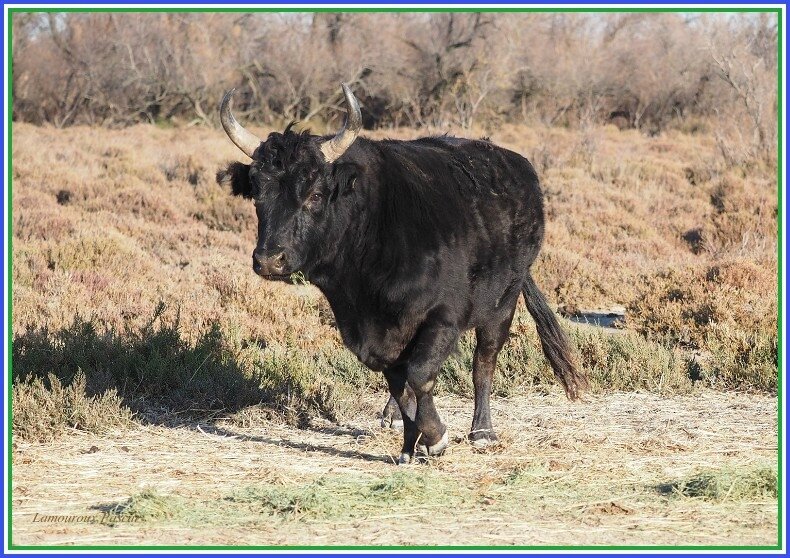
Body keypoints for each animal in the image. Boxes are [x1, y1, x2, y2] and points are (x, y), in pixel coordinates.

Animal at [217, 85, 588, 466]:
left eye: (315, 194)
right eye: (258, 195)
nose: (269, 259)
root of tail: (517, 166)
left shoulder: (444, 318)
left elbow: (421, 376)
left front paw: (435, 437)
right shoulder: (367, 334)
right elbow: (400, 383)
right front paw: (412, 441)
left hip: (504, 301)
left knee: (484, 360)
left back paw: (482, 431)